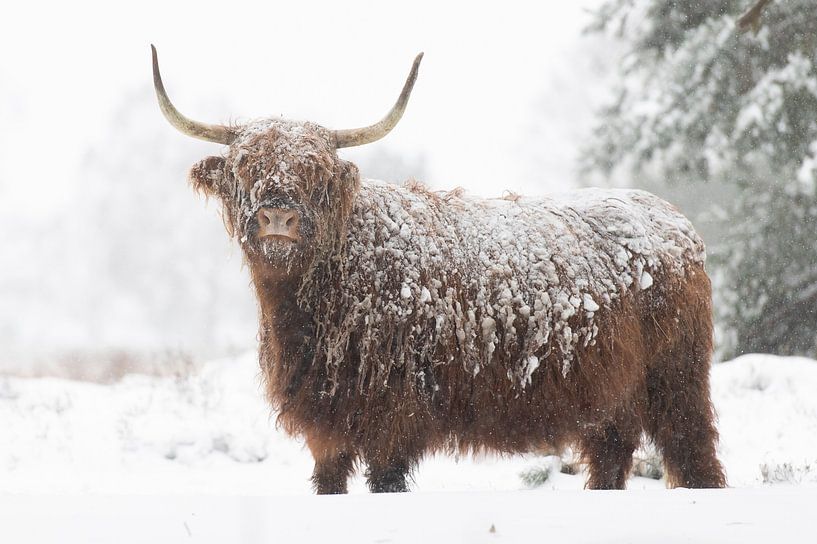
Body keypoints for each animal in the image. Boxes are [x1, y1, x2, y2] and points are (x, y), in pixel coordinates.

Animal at [150, 46, 724, 492]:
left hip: (677, 378)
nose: (278, 217)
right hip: (610, 394)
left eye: (316, 173)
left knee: (695, 454)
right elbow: (329, 483)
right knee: (611, 453)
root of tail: (676, 220)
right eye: (246, 166)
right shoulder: (325, 424)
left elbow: (386, 481)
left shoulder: (394, 415)